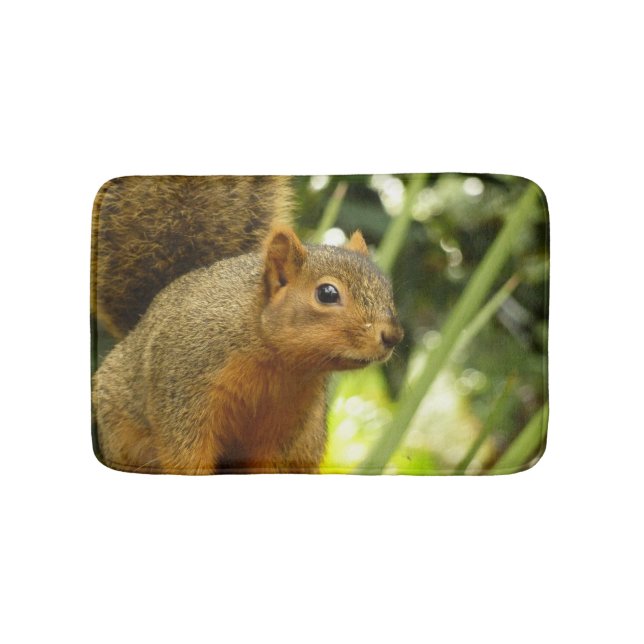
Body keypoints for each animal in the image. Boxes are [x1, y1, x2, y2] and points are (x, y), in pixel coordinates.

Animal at [92, 175, 404, 474]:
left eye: (388, 289)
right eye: (327, 293)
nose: (393, 336)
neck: (277, 363)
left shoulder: (287, 424)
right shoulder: (184, 391)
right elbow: (186, 454)